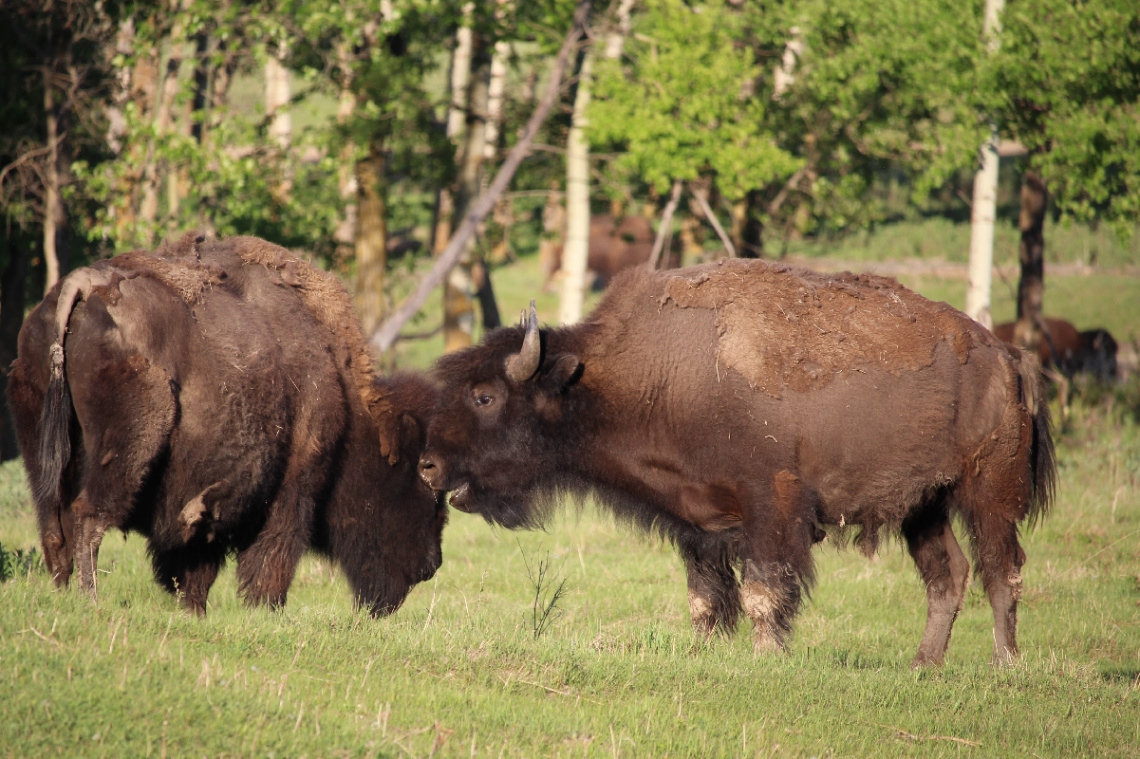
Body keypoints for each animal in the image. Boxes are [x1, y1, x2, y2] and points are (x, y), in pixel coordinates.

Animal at [7, 232, 444, 615]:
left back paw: (62, 597)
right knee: (88, 516)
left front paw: (194, 611)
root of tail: (85, 284)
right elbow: (270, 559)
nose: (433, 564)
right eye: (423, 482)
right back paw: (91, 600)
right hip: (128, 446)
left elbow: (194, 568)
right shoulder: (291, 491)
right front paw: (265, 611)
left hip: (41, 450)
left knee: (53, 527)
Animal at [421, 258, 1057, 660]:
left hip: (988, 496)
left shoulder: (770, 511)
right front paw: (704, 654)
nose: (427, 466)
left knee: (1002, 571)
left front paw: (765, 657)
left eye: (484, 395)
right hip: (923, 507)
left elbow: (761, 592)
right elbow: (705, 598)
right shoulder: (697, 524)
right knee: (947, 576)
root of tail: (1006, 356)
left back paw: (1004, 664)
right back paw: (924, 665)